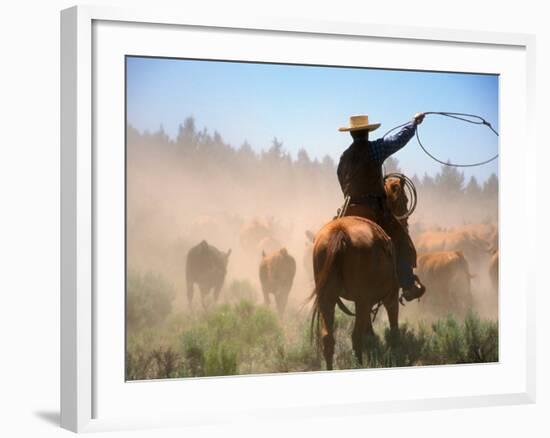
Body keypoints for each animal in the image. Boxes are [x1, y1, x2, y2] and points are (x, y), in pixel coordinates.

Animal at [310, 216, 402, 370]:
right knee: (356, 337)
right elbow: (394, 329)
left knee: (328, 338)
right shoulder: (391, 298)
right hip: (362, 301)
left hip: (327, 298)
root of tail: (340, 232)